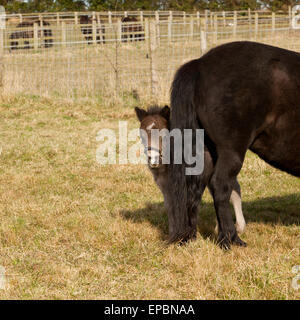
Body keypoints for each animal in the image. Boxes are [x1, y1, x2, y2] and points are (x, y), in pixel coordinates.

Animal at [169, 40, 300, 250]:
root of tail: (200, 64)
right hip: (231, 151)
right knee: (221, 186)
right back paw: (230, 238)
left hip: (206, 151)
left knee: (197, 186)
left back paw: (190, 236)